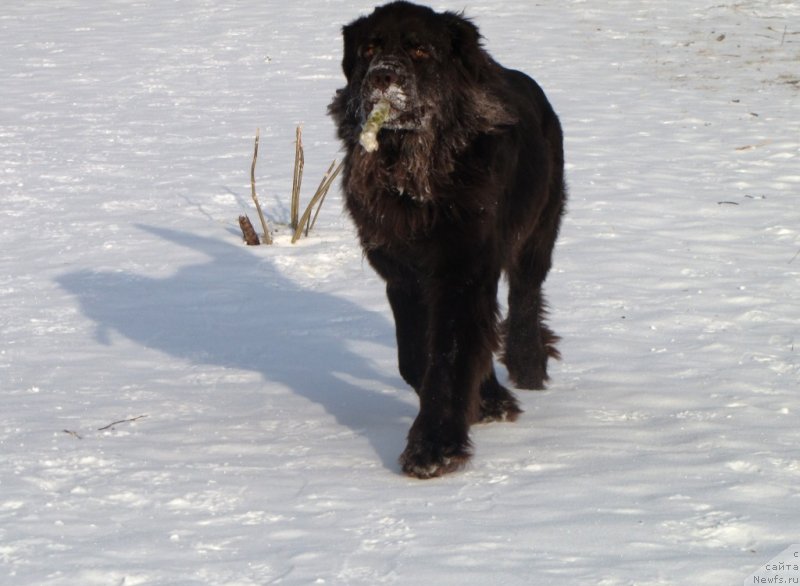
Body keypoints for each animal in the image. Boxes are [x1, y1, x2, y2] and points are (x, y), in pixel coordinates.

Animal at [328, 1, 564, 480]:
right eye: (369, 48)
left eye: (419, 49)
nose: (382, 76)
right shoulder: (403, 272)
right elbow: (420, 355)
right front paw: (484, 402)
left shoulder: (462, 267)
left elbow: (451, 354)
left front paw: (434, 449)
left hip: (539, 227)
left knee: (526, 295)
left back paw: (528, 364)